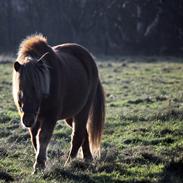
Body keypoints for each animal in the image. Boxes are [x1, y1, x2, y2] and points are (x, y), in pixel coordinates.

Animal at [12, 34, 105, 173]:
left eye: (38, 90)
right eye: (20, 89)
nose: (27, 120)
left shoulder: (50, 117)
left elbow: (43, 137)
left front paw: (39, 165)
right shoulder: (35, 120)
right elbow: (34, 139)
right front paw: (41, 162)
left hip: (83, 111)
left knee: (77, 135)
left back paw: (69, 163)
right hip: (71, 115)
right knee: (84, 133)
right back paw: (88, 158)